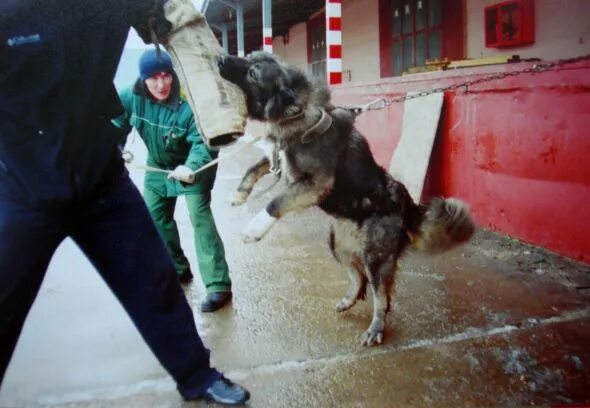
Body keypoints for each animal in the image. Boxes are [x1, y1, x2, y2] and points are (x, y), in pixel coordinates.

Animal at [220, 50, 478, 344]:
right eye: (248, 56)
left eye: (253, 73)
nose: (220, 59)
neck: (298, 112)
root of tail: (407, 205)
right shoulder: (281, 159)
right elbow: (255, 166)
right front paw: (239, 194)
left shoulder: (315, 183)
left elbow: (275, 202)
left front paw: (255, 228)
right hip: (337, 243)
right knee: (358, 277)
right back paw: (350, 299)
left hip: (376, 255)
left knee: (380, 295)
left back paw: (376, 328)